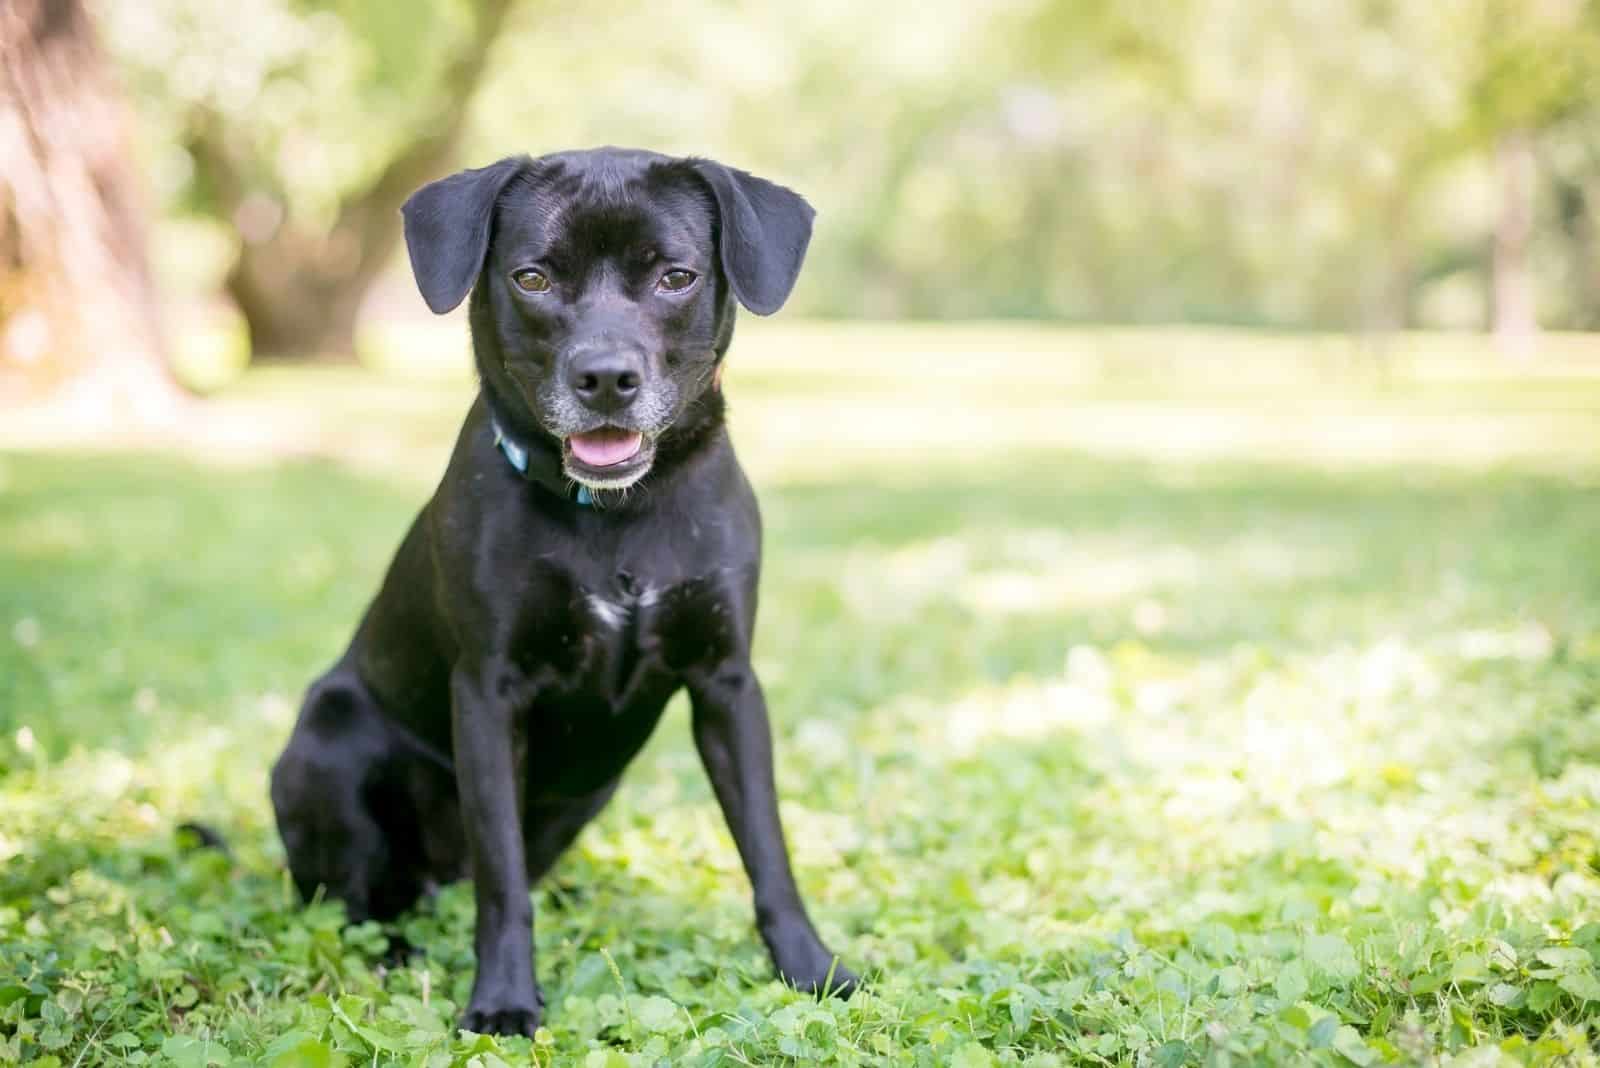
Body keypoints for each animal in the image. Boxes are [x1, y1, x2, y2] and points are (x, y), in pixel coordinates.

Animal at [268, 147, 857, 1036]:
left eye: (676, 276)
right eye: (533, 277)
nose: (606, 377)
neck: (617, 515)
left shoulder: (726, 685)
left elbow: (768, 848)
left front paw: (810, 968)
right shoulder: (487, 693)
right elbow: (502, 877)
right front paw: (504, 1000)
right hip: (327, 743)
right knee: (357, 900)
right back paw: (394, 954)